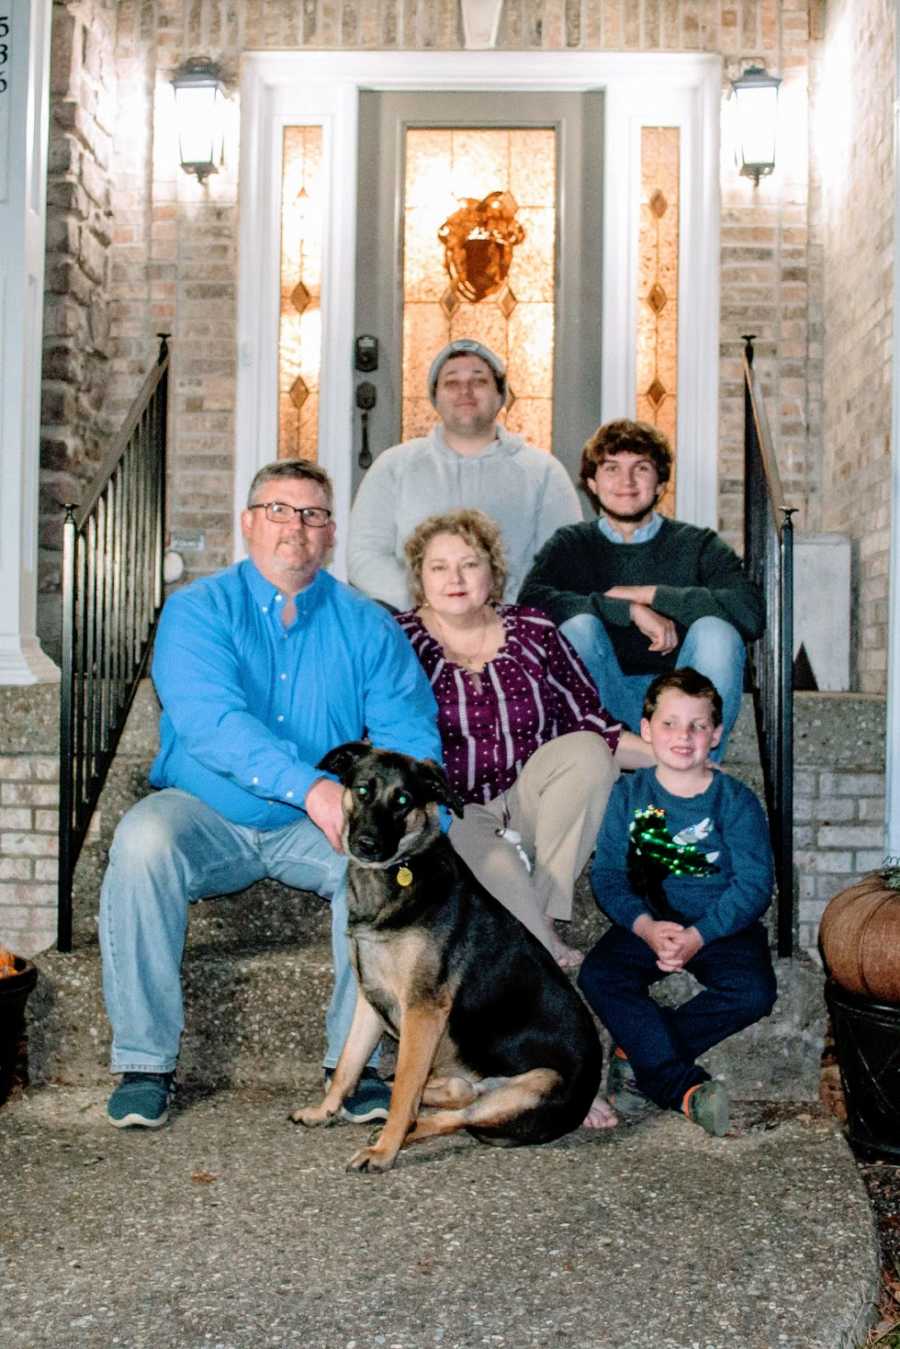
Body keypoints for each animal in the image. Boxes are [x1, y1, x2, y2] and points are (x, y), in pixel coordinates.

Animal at [292, 739, 601, 1170]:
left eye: (403, 800)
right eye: (363, 790)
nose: (367, 844)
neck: (402, 870)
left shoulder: (421, 1010)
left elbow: (404, 1091)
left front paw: (385, 1150)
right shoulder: (370, 1001)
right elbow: (347, 1066)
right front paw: (324, 1111)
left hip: (532, 1086)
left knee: (454, 1116)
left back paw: (395, 1133)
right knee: (457, 1094)